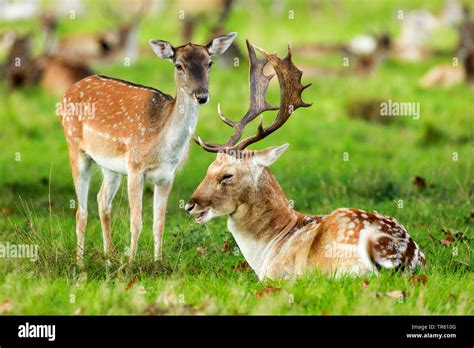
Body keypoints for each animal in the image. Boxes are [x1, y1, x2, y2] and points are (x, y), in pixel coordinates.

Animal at [59, 32, 237, 264]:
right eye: (179, 65)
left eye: (210, 63)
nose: (201, 95)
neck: (163, 148)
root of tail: (67, 93)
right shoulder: (135, 167)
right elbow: (136, 221)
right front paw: (131, 263)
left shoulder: (167, 176)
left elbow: (159, 223)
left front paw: (158, 263)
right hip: (75, 146)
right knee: (81, 211)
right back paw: (80, 262)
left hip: (110, 166)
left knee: (102, 201)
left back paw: (108, 256)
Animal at [185, 40, 426, 280]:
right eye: (209, 169)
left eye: (227, 175)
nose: (189, 205)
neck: (268, 249)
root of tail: (405, 258)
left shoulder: (276, 274)